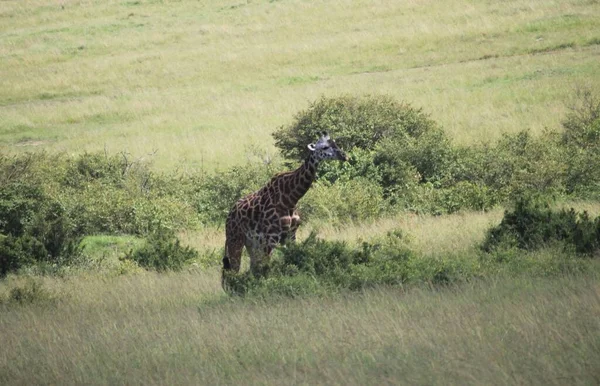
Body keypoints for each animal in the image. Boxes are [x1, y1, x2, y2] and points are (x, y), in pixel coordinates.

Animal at [224, 131, 346, 284]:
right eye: (324, 147)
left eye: (335, 143)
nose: (344, 155)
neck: (290, 198)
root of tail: (229, 216)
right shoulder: (271, 238)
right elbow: (266, 269)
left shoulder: (291, 235)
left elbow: (291, 261)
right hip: (235, 239)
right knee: (231, 272)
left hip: (252, 243)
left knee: (250, 268)